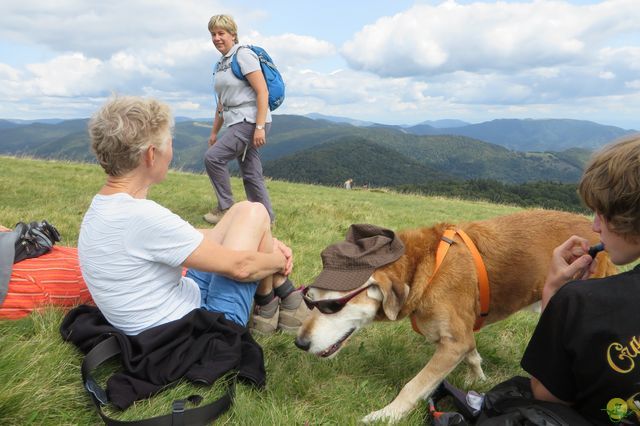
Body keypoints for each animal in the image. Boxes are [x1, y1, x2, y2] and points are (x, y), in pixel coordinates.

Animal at [294, 210, 616, 422]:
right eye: (310, 300)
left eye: (332, 306)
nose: (299, 343)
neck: (421, 269)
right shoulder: (460, 335)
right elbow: (472, 353)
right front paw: (478, 379)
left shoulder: (452, 344)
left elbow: (414, 386)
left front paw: (386, 415)